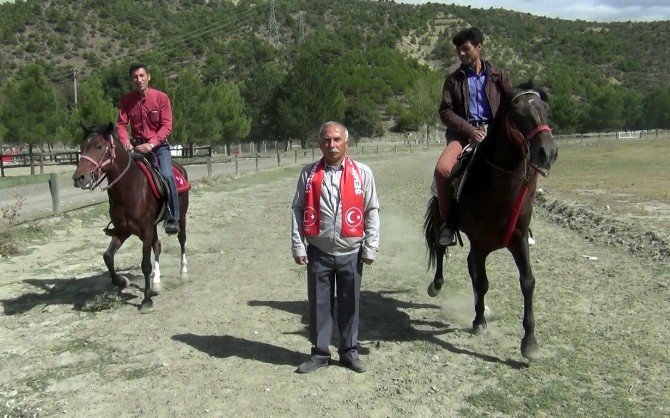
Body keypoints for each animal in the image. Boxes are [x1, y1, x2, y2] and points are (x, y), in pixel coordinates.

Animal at [73, 122, 189, 308]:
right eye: (82, 147)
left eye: (99, 146)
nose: (79, 178)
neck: (129, 188)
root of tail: (180, 168)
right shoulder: (123, 231)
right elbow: (107, 256)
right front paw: (122, 281)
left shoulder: (145, 230)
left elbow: (145, 264)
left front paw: (147, 299)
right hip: (153, 226)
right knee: (157, 246)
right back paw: (156, 280)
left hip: (181, 216)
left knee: (182, 239)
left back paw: (183, 270)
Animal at [428, 83, 560, 360]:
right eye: (517, 113)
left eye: (544, 108)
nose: (548, 152)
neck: (500, 190)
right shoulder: (480, 243)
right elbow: (483, 281)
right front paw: (478, 321)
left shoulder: (518, 239)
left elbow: (527, 282)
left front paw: (529, 342)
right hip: (442, 219)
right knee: (440, 247)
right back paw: (437, 285)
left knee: (469, 266)